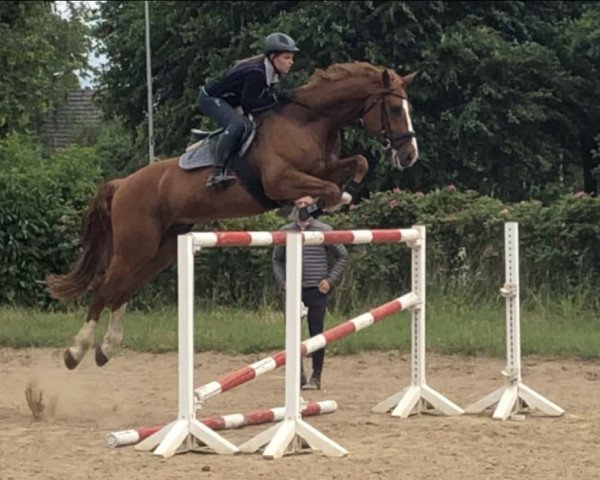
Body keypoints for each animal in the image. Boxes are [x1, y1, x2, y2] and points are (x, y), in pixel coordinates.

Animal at [45, 62, 418, 370]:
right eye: (395, 109)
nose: (410, 155)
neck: (310, 120)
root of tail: (123, 183)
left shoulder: (322, 167)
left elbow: (357, 164)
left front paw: (328, 200)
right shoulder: (279, 179)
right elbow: (328, 187)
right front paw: (314, 203)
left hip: (163, 249)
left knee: (123, 289)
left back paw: (107, 349)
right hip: (135, 246)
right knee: (104, 286)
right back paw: (76, 351)